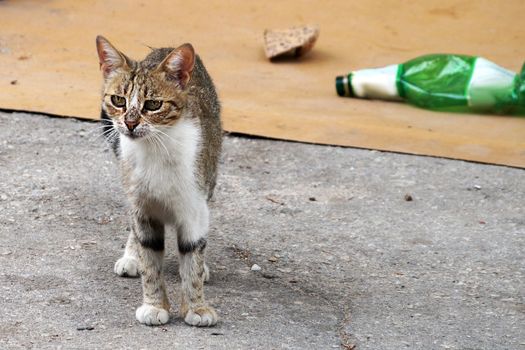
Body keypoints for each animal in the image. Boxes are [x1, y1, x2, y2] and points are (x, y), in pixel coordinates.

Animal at [96, 34, 221, 326]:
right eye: (118, 100)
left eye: (153, 104)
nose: (130, 124)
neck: (154, 149)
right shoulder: (142, 205)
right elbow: (150, 258)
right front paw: (154, 305)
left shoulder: (194, 206)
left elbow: (193, 256)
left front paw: (197, 307)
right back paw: (131, 256)